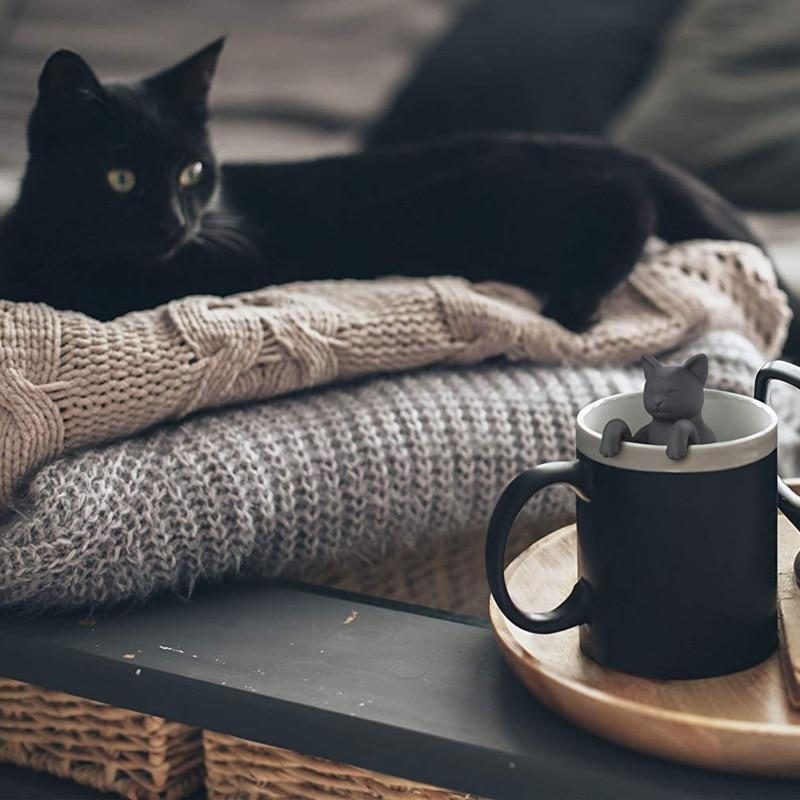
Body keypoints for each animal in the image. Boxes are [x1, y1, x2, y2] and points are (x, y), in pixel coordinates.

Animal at [0, 38, 788, 344]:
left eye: (193, 173)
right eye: (121, 178)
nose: (173, 224)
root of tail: (602, 142)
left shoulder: (228, 260)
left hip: (516, 207)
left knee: (629, 208)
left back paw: (574, 303)